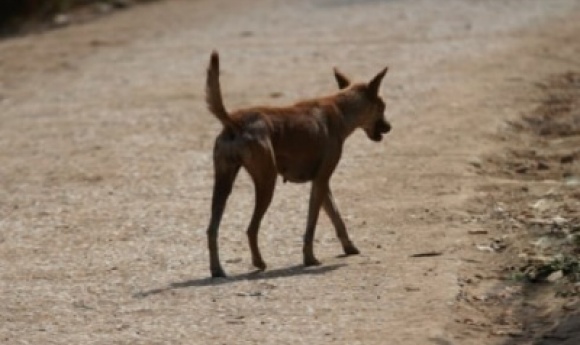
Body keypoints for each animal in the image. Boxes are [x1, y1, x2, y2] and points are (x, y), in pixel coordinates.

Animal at [203, 51, 390, 276]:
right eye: (383, 107)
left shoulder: (322, 184)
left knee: (212, 229)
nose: (389, 126)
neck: (340, 109)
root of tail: (235, 121)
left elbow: (336, 217)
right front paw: (309, 258)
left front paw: (349, 247)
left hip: (223, 184)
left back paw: (217, 269)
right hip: (266, 182)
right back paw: (259, 263)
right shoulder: (320, 181)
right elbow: (311, 226)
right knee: (251, 228)